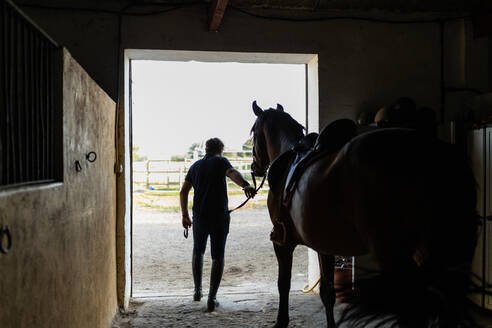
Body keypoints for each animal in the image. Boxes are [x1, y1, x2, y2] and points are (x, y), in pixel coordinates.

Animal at [248, 101, 478, 326]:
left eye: (253, 132)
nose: (254, 167)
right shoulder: (324, 246)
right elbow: (327, 293)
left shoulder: (282, 242)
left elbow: (283, 284)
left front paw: (281, 321)